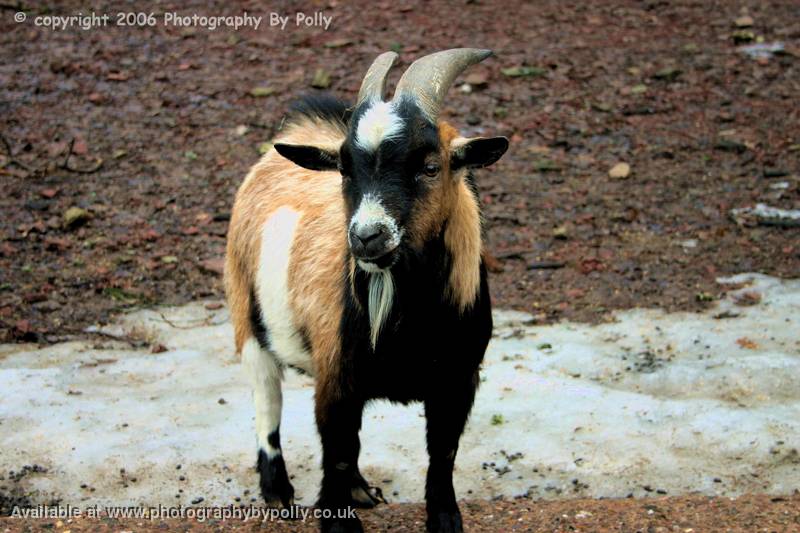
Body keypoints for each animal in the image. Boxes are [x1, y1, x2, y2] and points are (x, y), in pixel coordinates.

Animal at [225, 47, 506, 528]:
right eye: (343, 169)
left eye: (431, 166)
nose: (366, 236)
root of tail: (304, 127)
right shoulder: (335, 377)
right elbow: (336, 451)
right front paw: (336, 519)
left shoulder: (458, 378)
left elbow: (443, 452)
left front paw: (445, 518)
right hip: (246, 315)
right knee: (267, 401)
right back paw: (278, 493)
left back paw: (359, 489)